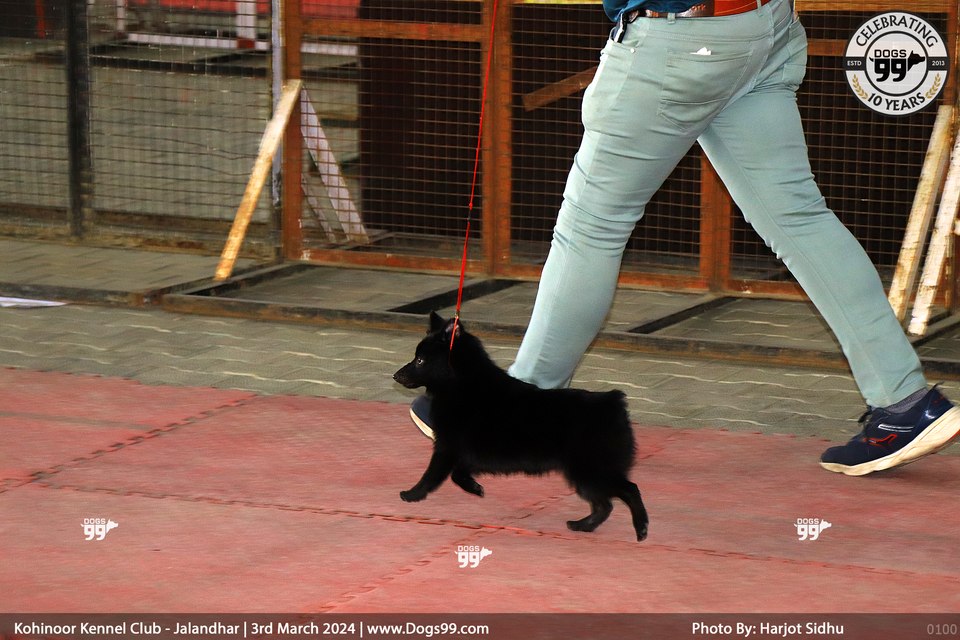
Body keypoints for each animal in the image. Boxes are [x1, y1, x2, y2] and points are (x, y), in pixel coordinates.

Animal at [393, 311, 649, 541]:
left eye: (420, 360)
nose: (396, 375)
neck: (463, 385)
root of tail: (612, 402)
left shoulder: (446, 447)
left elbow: (432, 475)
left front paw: (412, 494)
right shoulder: (471, 454)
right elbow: (458, 473)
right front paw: (475, 487)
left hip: (590, 470)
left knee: (629, 490)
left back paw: (641, 528)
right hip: (587, 475)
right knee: (604, 505)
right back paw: (582, 526)